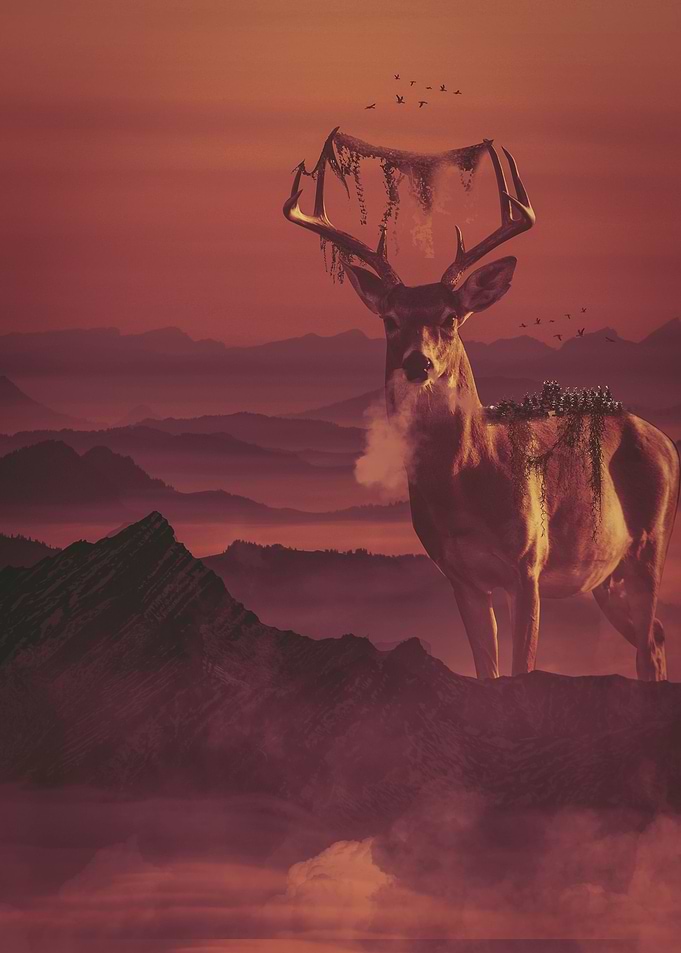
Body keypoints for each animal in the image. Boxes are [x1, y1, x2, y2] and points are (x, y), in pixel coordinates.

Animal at [283, 131, 680, 681]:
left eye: (451, 317)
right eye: (390, 319)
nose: (418, 363)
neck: (469, 482)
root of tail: (667, 442)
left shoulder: (528, 564)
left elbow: (520, 671)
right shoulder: (461, 576)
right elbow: (486, 673)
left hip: (650, 547)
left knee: (649, 641)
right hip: (606, 575)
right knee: (657, 638)